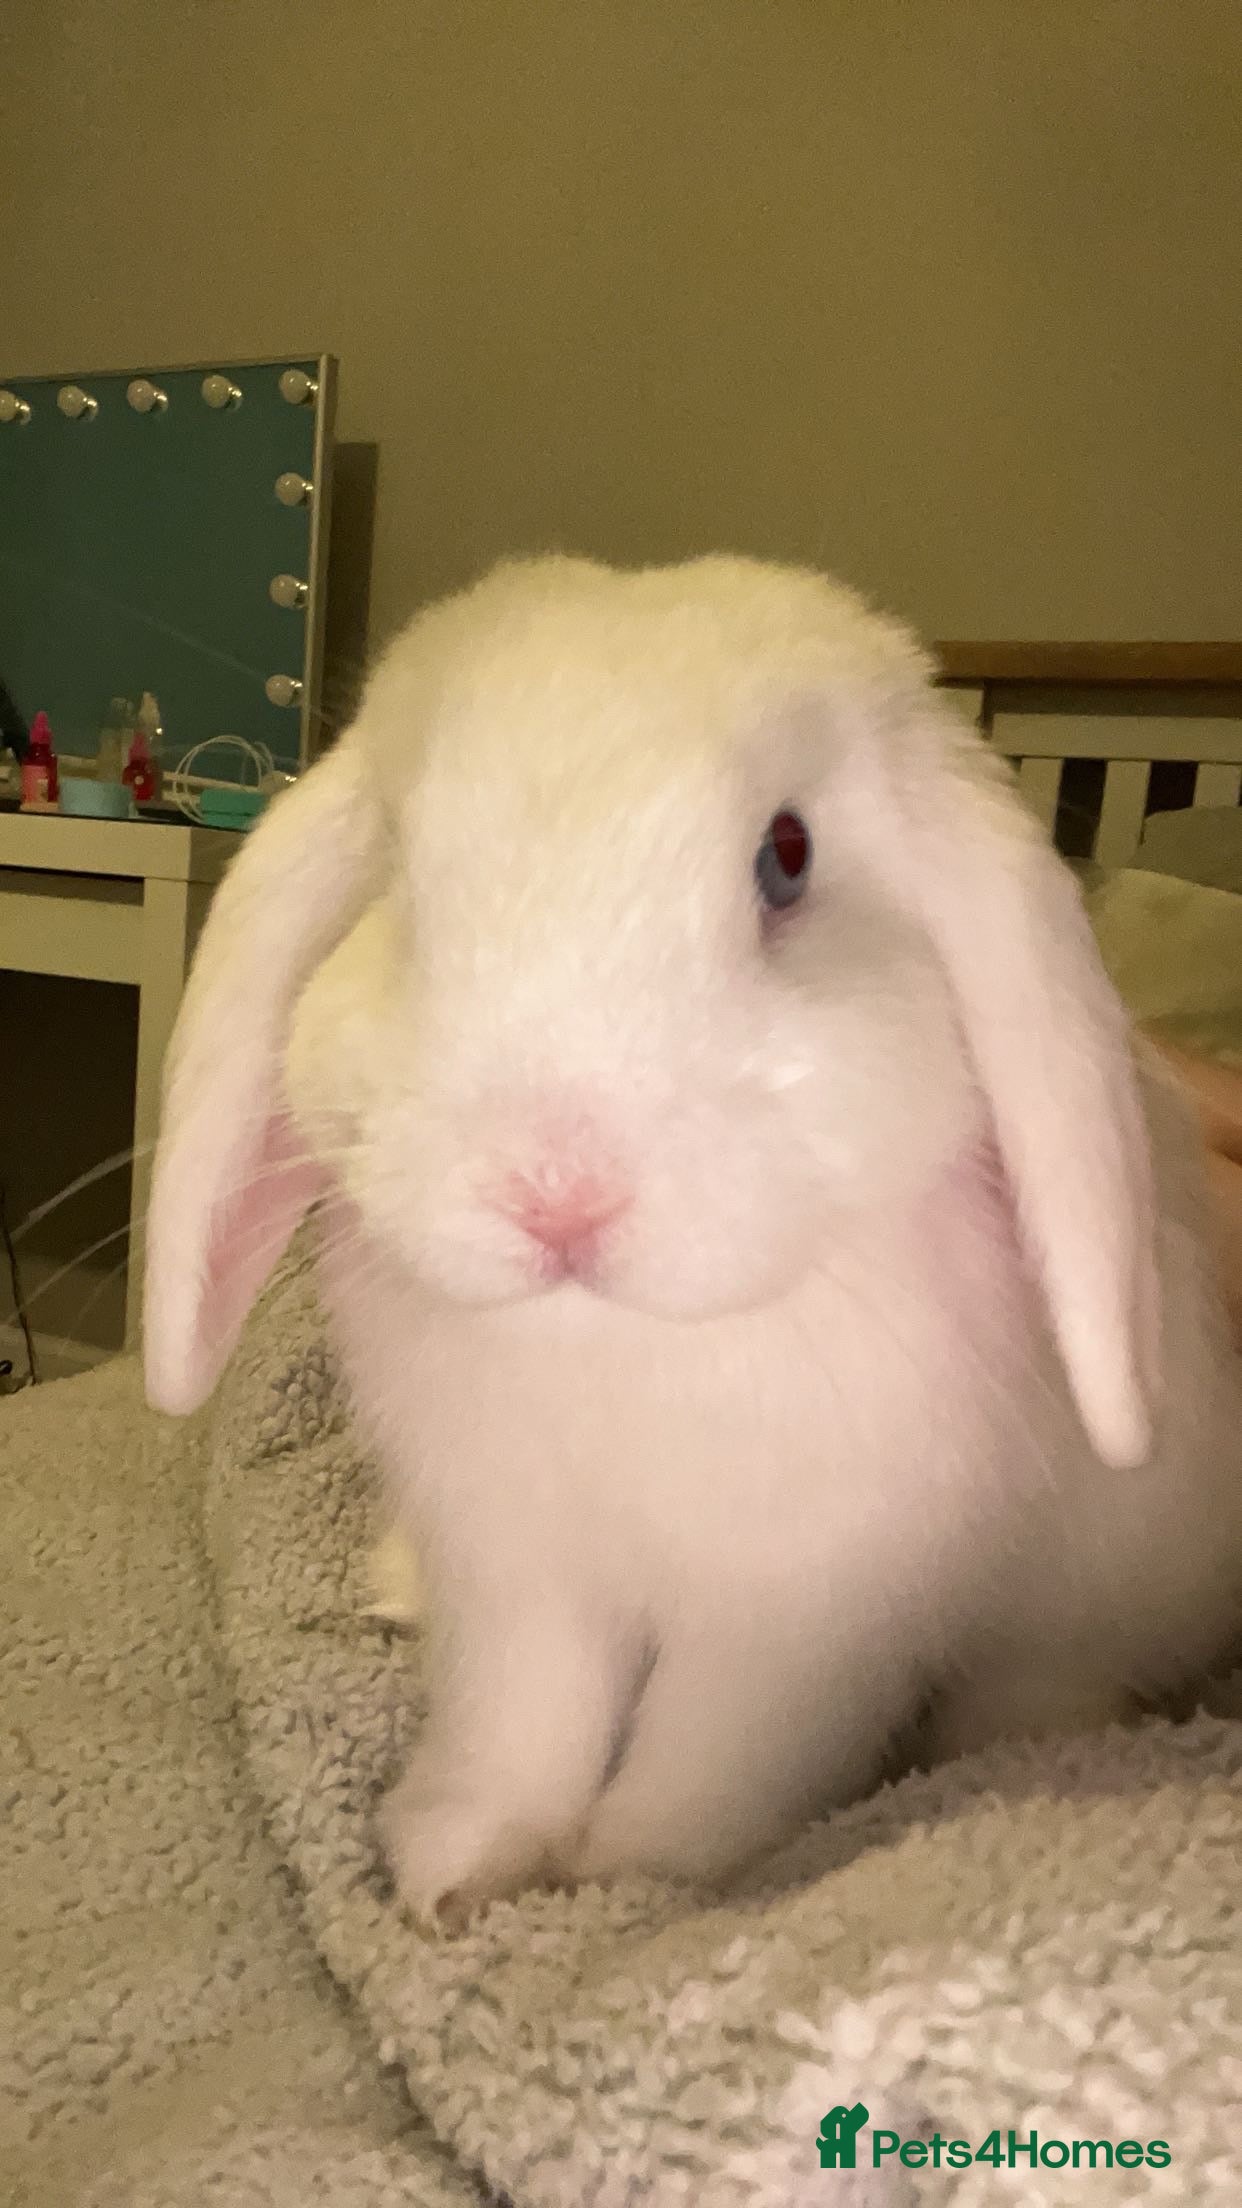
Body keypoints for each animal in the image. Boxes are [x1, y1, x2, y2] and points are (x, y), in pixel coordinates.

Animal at [144, 554, 1242, 1922]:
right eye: (398, 867)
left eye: (788, 856)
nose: (555, 1190)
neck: (617, 1345)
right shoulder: (516, 1573)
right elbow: (519, 1723)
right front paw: (455, 1872)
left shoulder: (798, 1621)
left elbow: (714, 1754)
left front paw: (634, 1879)